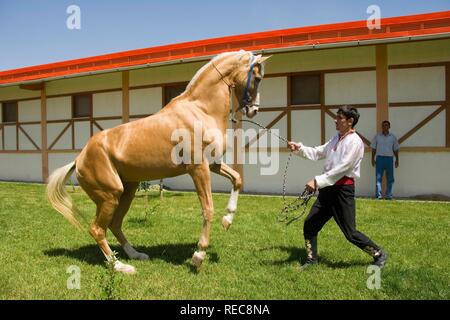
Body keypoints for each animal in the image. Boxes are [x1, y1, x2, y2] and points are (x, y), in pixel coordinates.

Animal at [46, 51, 270, 274]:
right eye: (258, 78)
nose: (253, 110)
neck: (200, 110)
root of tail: (79, 159)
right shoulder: (198, 168)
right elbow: (208, 209)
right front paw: (198, 256)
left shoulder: (213, 164)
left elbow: (237, 179)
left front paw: (227, 220)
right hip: (110, 196)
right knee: (97, 229)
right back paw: (120, 266)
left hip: (126, 191)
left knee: (114, 224)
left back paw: (136, 255)